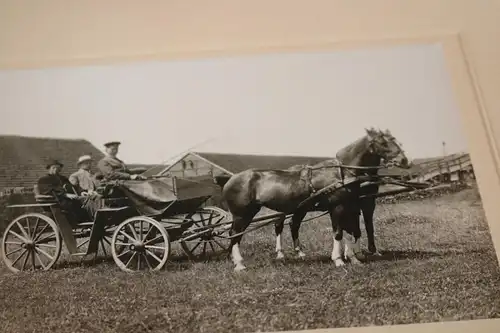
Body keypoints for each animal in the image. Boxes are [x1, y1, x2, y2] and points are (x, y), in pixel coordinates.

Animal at [223, 127, 410, 270]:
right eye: (383, 142)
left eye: (395, 140)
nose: (404, 160)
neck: (342, 173)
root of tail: (230, 179)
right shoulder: (338, 207)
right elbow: (338, 233)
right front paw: (339, 260)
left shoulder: (350, 207)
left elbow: (351, 231)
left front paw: (353, 257)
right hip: (243, 214)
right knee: (235, 234)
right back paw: (240, 264)